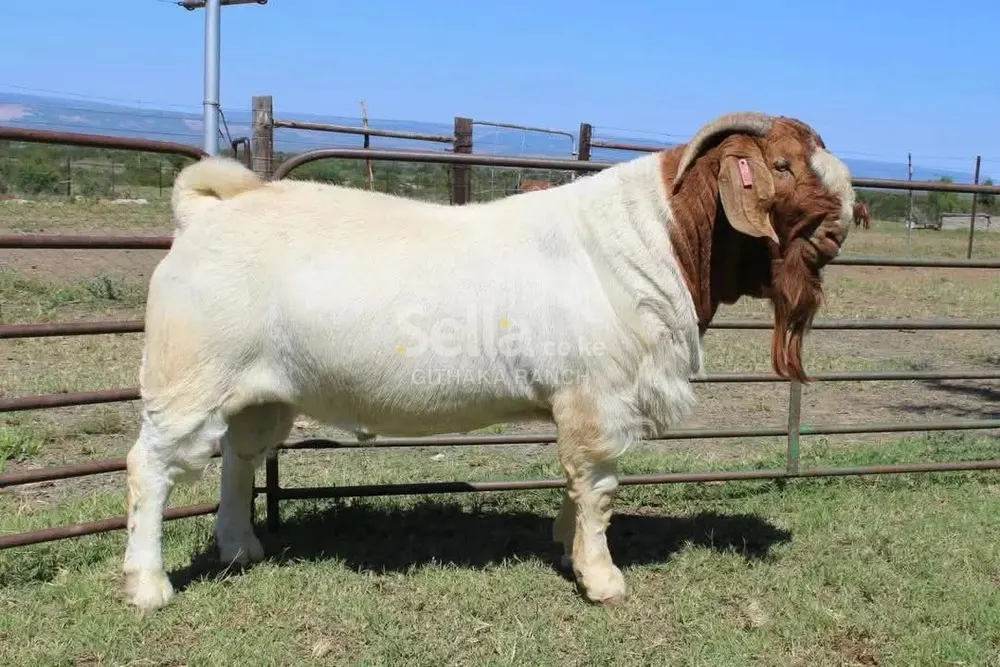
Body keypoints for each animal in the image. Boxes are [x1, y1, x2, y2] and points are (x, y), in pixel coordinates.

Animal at [123, 111, 854, 612]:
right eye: (782, 165)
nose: (844, 222)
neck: (658, 239)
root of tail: (204, 215)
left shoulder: (576, 403)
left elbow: (577, 484)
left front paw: (567, 545)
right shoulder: (598, 395)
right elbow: (599, 486)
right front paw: (603, 578)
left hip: (258, 389)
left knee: (239, 458)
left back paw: (240, 548)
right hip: (189, 375)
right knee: (149, 466)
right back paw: (148, 584)